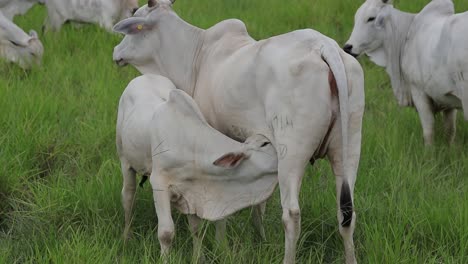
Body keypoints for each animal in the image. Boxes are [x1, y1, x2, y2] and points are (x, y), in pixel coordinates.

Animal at [116, 74, 278, 260]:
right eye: (265, 144)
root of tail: (144, 76)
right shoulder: (159, 183)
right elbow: (166, 233)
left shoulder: (193, 192)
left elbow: (196, 230)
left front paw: (198, 258)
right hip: (124, 159)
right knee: (128, 197)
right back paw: (126, 237)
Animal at [344, 0, 468, 144]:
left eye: (371, 18)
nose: (348, 47)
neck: (406, 34)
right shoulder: (447, 101)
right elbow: (450, 131)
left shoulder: (418, 91)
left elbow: (429, 131)